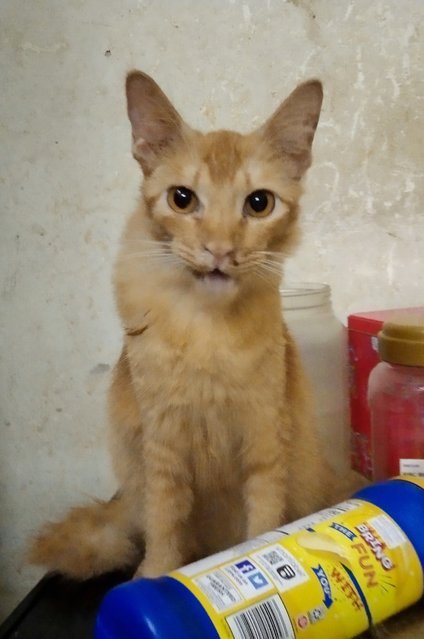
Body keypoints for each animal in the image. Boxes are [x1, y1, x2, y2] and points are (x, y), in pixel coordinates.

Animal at [29, 70, 344, 580]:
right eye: (182, 199)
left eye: (259, 203)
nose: (219, 249)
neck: (208, 330)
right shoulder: (161, 443)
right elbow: (164, 523)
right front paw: (156, 576)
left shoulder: (264, 438)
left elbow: (263, 519)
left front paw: (260, 561)